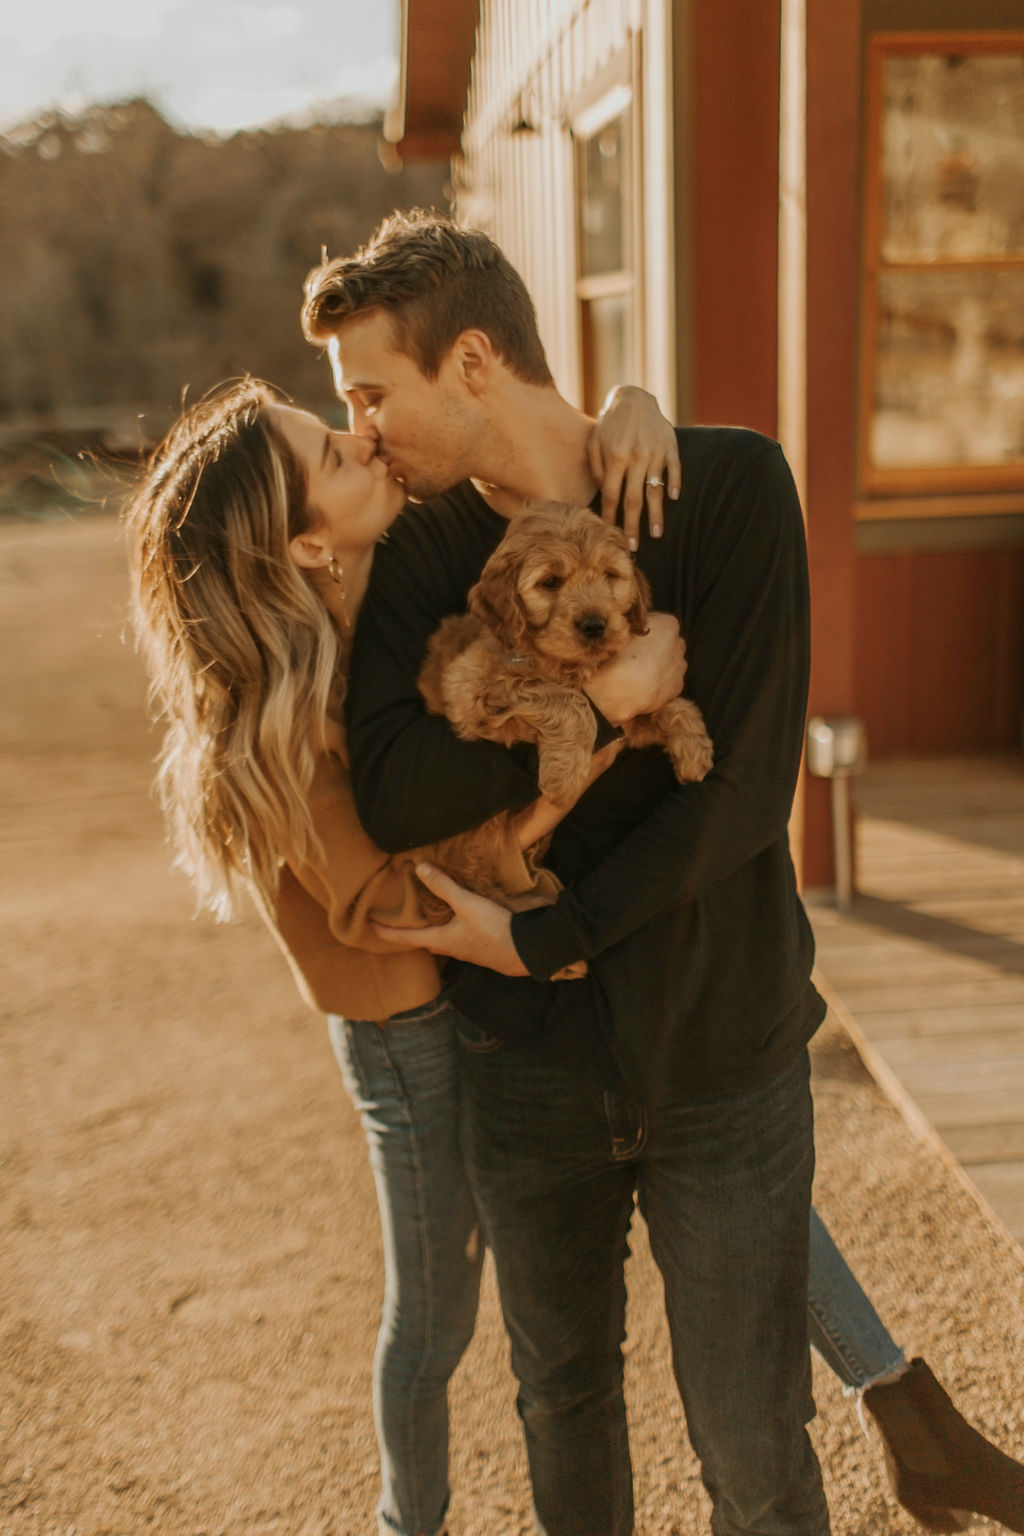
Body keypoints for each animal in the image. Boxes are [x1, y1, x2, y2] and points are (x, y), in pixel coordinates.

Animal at [417, 506, 712, 817]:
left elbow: (670, 704)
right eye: (550, 582)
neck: (566, 662)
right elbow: (568, 698)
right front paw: (565, 779)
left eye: (609, 574)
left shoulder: (631, 724)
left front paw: (695, 747)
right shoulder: (468, 682)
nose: (594, 626)